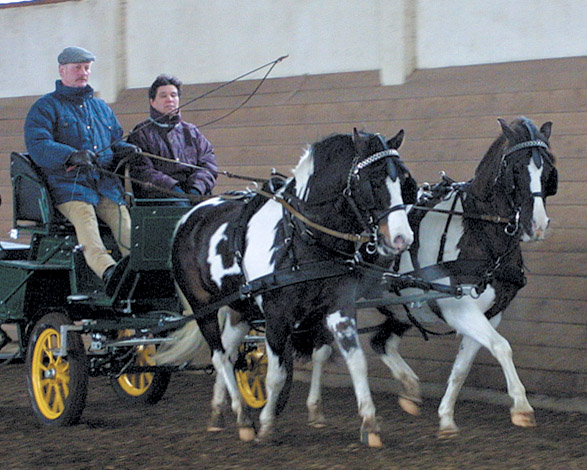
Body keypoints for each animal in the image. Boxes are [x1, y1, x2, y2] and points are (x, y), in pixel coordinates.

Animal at [161, 130, 416, 446]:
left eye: (404, 181)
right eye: (373, 181)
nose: (402, 239)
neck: (303, 238)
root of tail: (189, 217)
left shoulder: (338, 309)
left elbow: (354, 361)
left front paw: (368, 424)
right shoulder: (276, 317)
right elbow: (276, 375)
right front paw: (267, 424)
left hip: (240, 309)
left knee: (229, 353)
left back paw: (220, 413)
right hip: (203, 307)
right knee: (219, 356)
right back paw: (243, 418)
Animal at [306, 116, 560, 436]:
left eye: (549, 172)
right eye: (515, 169)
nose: (536, 225)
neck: (479, 231)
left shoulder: (490, 315)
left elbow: (463, 367)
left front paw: (446, 417)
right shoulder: (459, 309)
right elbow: (502, 347)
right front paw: (522, 406)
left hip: (397, 308)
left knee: (381, 342)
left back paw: (409, 388)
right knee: (321, 350)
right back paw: (315, 409)